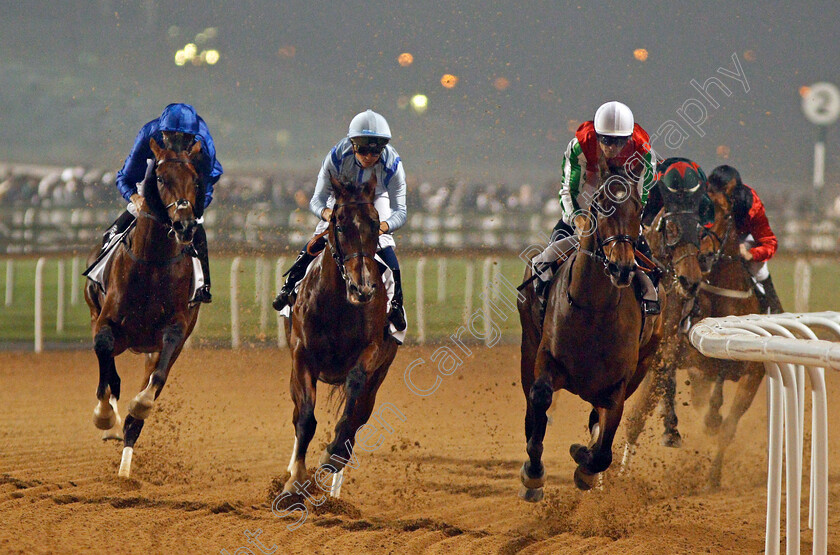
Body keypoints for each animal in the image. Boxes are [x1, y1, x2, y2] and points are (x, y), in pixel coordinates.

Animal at [84, 138, 203, 478]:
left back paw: (125, 468)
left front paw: (139, 405)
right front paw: (104, 415)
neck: (151, 262)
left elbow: (156, 379)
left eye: (196, 180)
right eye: (160, 178)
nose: (184, 225)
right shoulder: (106, 321)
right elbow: (105, 360)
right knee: (109, 366)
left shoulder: (175, 330)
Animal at [282, 174, 400, 496]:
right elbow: (305, 419)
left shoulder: (372, 350)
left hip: (380, 375)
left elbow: (351, 406)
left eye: (375, 223)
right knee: (297, 414)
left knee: (359, 417)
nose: (364, 288)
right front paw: (294, 481)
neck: (337, 305)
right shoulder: (301, 355)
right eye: (339, 224)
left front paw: (331, 455)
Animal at [520, 167, 664, 502]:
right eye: (600, 207)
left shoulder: (618, 385)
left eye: (638, 208)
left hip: (645, 362)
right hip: (527, 347)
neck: (594, 310)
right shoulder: (546, 357)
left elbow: (602, 451)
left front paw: (583, 464)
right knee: (532, 407)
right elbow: (541, 398)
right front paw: (534, 473)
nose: (622, 267)